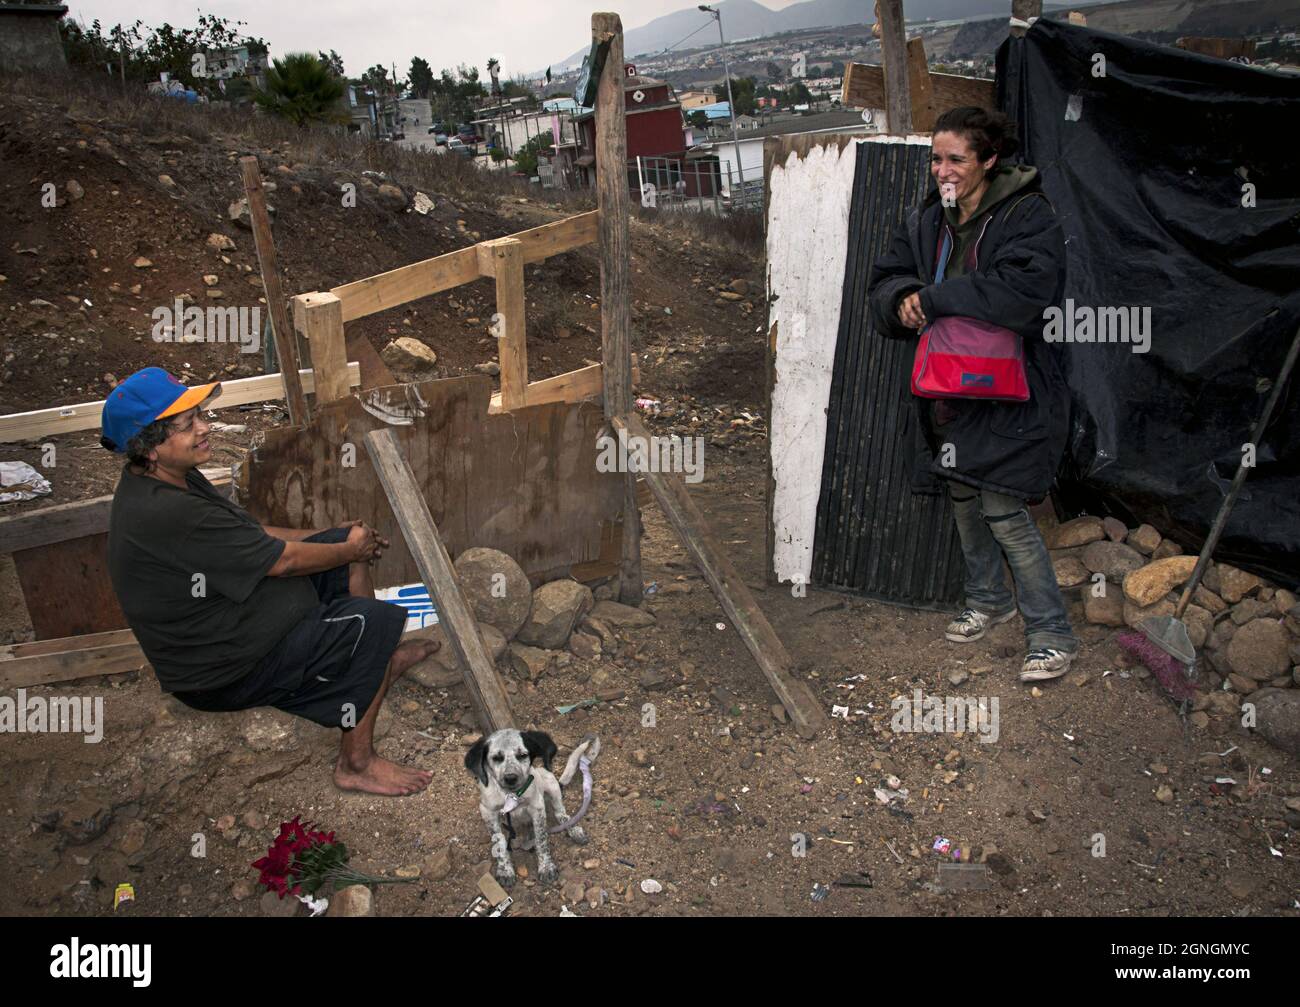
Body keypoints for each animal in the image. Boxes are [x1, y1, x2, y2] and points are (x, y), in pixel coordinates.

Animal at [462, 727, 595, 888]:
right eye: (496, 758)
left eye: (523, 755)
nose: (511, 778)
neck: (511, 795)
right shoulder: (488, 811)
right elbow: (499, 842)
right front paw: (505, 870)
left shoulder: (537, 808)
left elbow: (541, 839)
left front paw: (546, 867)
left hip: (550, 782)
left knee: (561, 814)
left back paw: (573, 830)